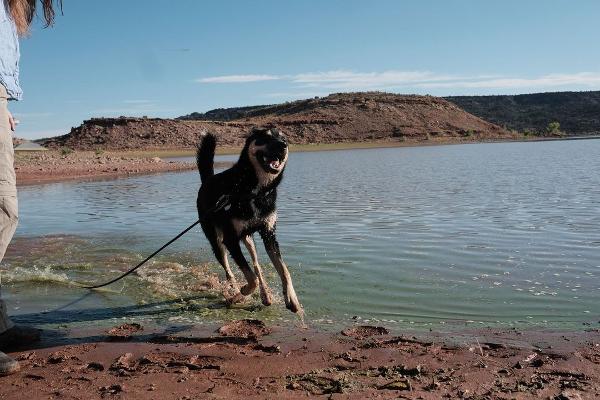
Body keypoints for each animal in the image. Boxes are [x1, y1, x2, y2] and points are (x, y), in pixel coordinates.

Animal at [196, 127, 300, 312]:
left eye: (284, 138)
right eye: (265, 137)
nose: (283, 145)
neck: (254, 191)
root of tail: (207, 180)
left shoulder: (269, 234)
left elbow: (284, 270)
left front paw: (293, 300)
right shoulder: (230, 239)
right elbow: (251, 278)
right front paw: (242, 292)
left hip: (248, 238)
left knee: (256, 263)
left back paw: (265, 295)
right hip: (217, 241)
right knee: (229, 271)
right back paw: (234, 292)